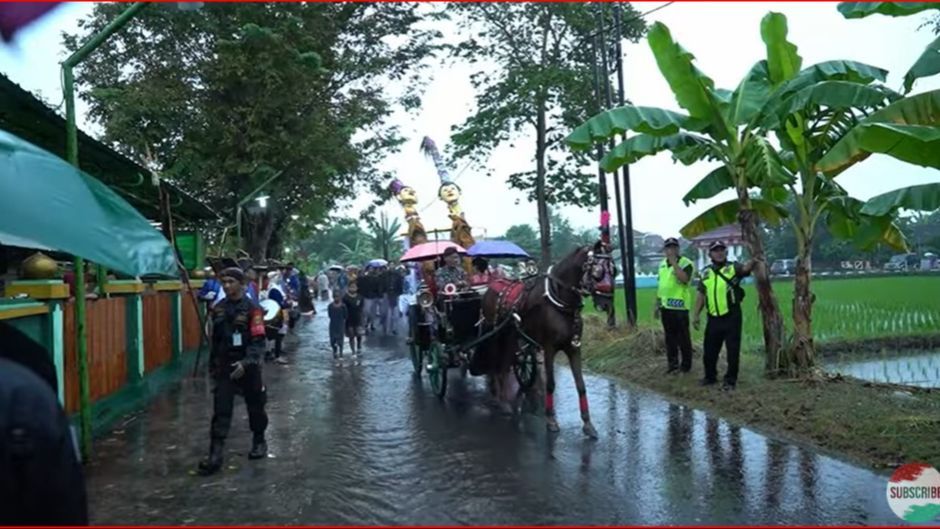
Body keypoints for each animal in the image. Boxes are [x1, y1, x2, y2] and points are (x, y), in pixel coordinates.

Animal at [474, 243, 600, 438]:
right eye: (594, 266)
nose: (605, 291)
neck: (559, 303)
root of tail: (491, 287)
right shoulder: (549, 348)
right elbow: (550, 384)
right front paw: (551, 420)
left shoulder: (574, 348)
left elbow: (581, 385)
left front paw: (588, 424)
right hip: (496, 335)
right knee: (497, 364)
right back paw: (499, 399)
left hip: (512, 338)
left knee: (506, 364)